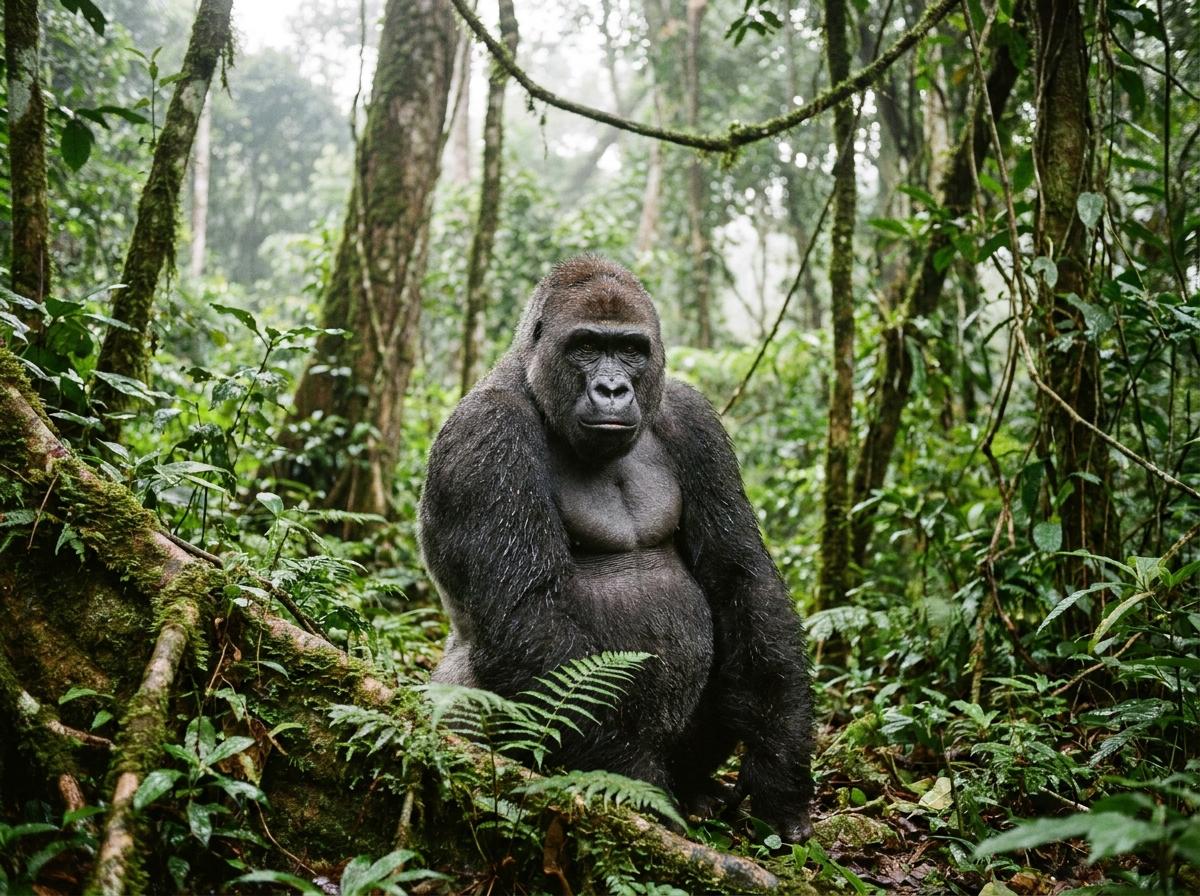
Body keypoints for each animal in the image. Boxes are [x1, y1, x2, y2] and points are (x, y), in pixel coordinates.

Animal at [419, 254, 814, 840]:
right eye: (585, 345)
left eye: (631, 349)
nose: (612, 389)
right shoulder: (485, 436)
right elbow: (528, 614)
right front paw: (636, 785)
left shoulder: (693, 418)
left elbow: (740, 575)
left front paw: (780, 774)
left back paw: (697, 786)